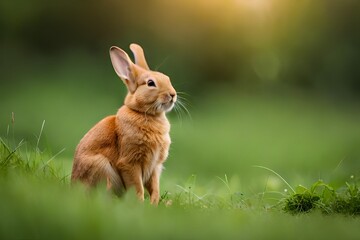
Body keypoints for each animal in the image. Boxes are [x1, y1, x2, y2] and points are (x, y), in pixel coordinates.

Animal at [71, 43, 176, 204]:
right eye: (150, 83)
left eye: (167, 78)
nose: (173, 95)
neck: (144, 113)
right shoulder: (129, 162)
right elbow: (137, 186)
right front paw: (140, 204)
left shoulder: (155, 167)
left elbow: (155, 187)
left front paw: (153, 203)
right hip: (101, 166)